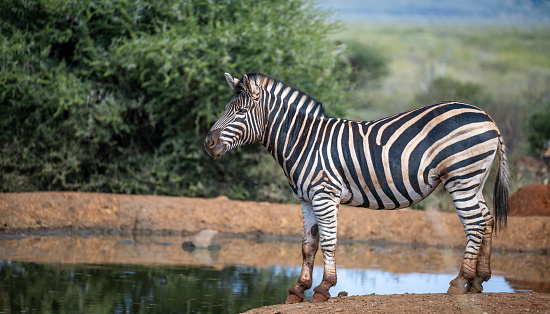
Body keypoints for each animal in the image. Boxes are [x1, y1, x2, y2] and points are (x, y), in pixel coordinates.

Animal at [205, 72, 512, 302]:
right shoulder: (306, 199)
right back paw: (478, 281)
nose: (208, 143)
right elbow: (307, 245)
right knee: (487, 220)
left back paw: (459, 282)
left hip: (461, 177)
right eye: (226, 109)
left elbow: (328, 242)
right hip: (475, 180)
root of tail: (488, 118)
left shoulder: (324, 194)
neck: (302, 141)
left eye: (242, 111)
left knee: (474, 224)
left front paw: (323, 288)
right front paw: (298, 289)